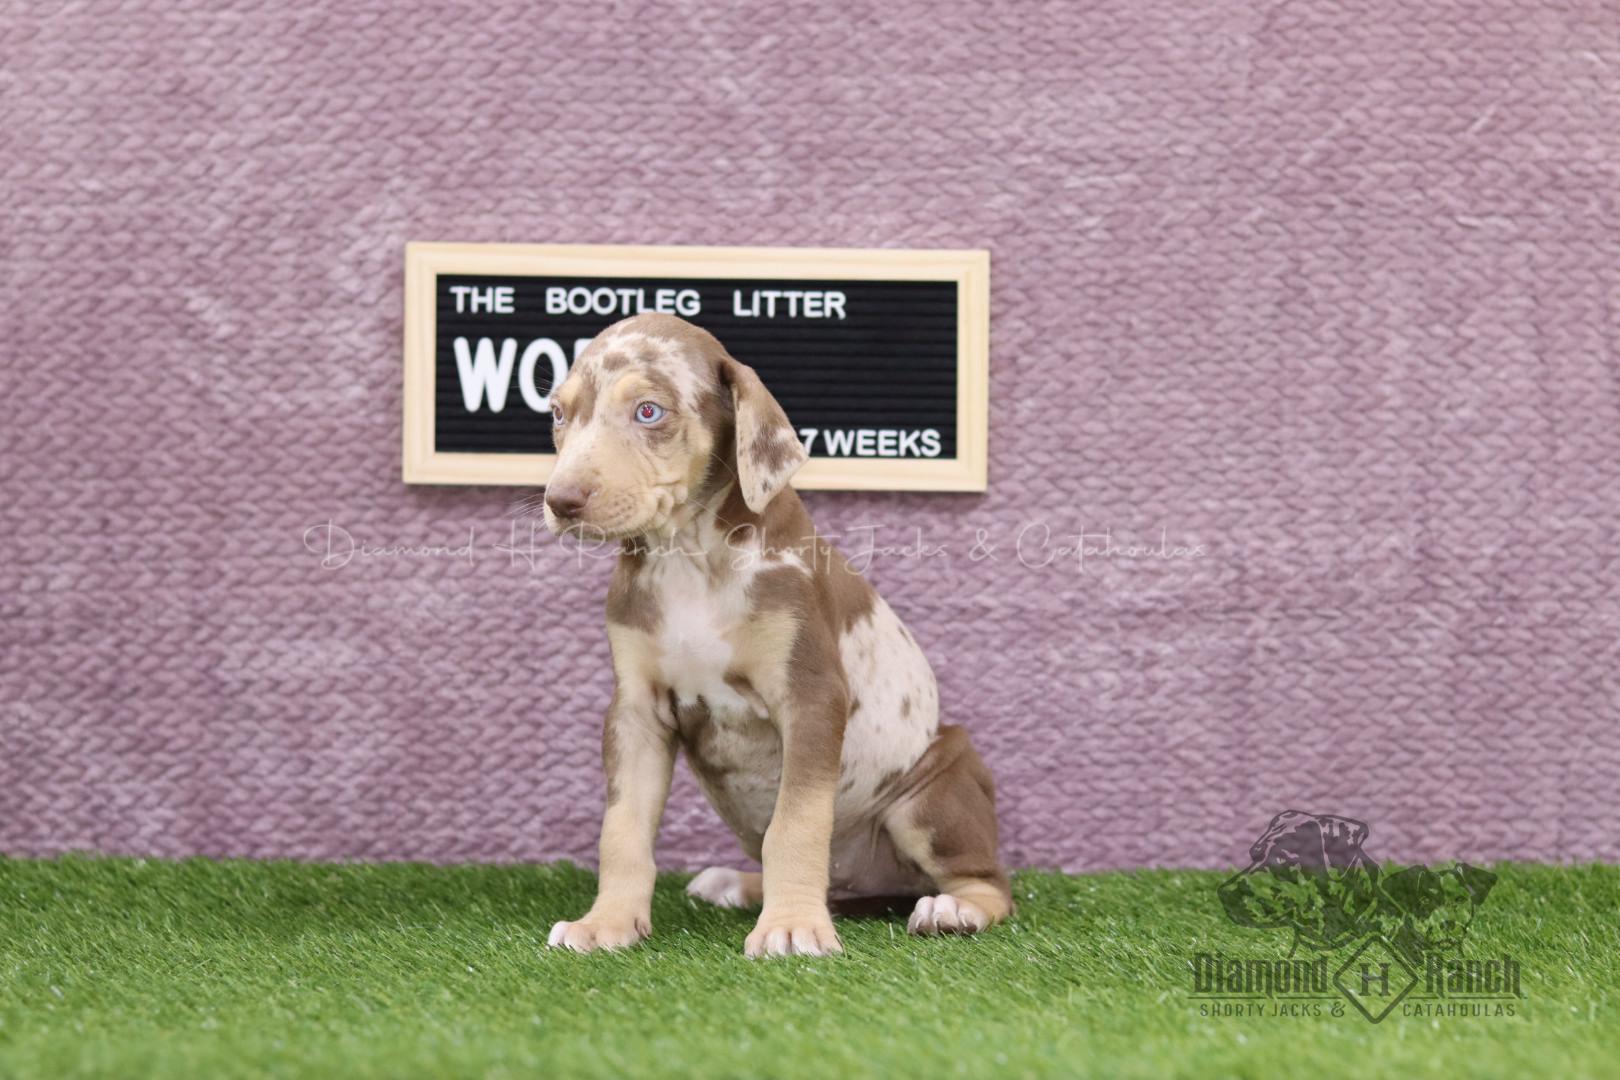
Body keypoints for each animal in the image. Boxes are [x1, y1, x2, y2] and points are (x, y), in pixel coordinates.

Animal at [541, 313, 1010, 958]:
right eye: (559, 414)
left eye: (648, 411)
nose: (560, 501)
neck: (689, 560)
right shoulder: (636, 713)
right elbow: (623, 829)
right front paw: (607, 922)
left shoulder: (810, 697)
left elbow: (796, 823)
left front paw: (790, 926)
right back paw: (742, 885)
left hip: (932, 792)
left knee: (991, 884)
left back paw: (952, 908)